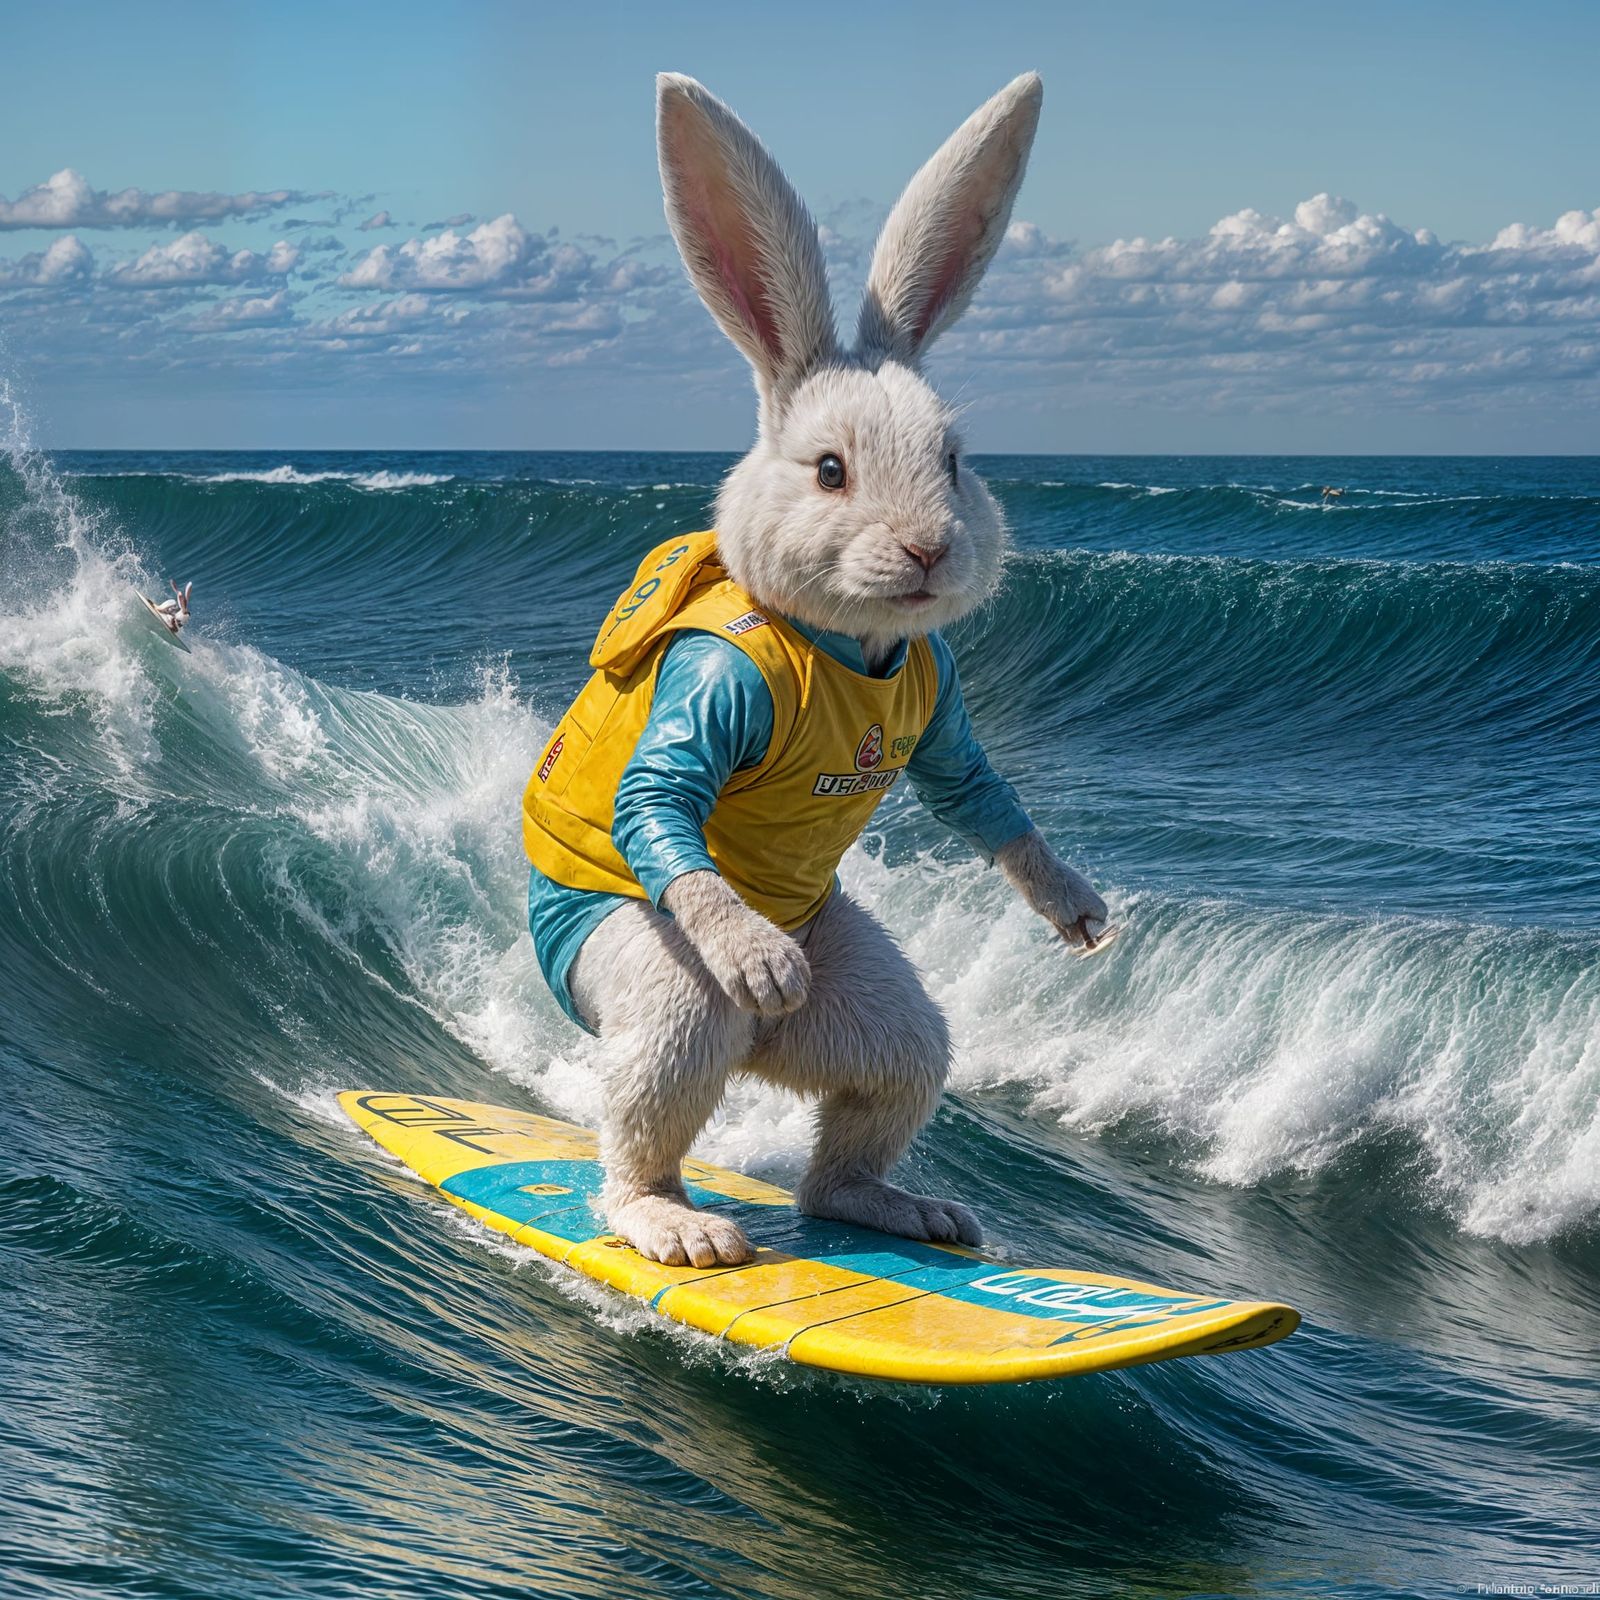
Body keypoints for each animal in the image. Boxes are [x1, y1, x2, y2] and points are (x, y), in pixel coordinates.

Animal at [560, 71, 1110, 1271]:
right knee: (651, 1111)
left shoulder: (938, 696)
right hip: (649, 990)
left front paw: (1075, 907)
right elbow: (656, 795)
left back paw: (893, 1207)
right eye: (827, 471)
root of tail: (757, 1054)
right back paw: (678, 1219)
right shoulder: (719, 683)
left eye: (953, 460)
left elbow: (973, 791)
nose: (928, 549)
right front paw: (755, 956)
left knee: (878, 1095)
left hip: (864, 1014)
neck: (845, 647)